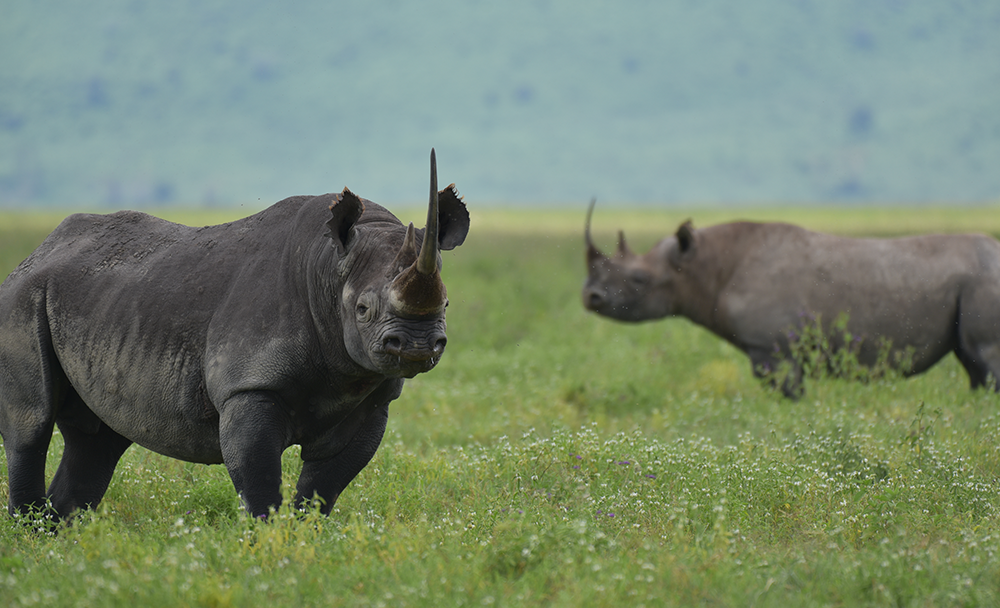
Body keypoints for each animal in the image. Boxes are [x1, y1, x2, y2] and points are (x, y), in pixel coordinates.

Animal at [0, 150, 468, 520]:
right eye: (363, 310)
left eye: (446, 305)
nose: (417, 346)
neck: (328, 270)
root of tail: (36, 252)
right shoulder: (248, 385)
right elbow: (259, 481)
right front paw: (268, 545)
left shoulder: (371, 401)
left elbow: (323, 489)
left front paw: (303, 544)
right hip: (22, 298)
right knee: (31, 426)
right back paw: (32, 537)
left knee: (98, 440)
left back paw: (58, 538)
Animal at [580, 201, 1000, 400]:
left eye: (638, 280)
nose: (590, 296)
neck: (703, 266)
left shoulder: (773, 348)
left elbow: (788, 395)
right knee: (974, 367)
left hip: (984, 280)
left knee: (984, 358)